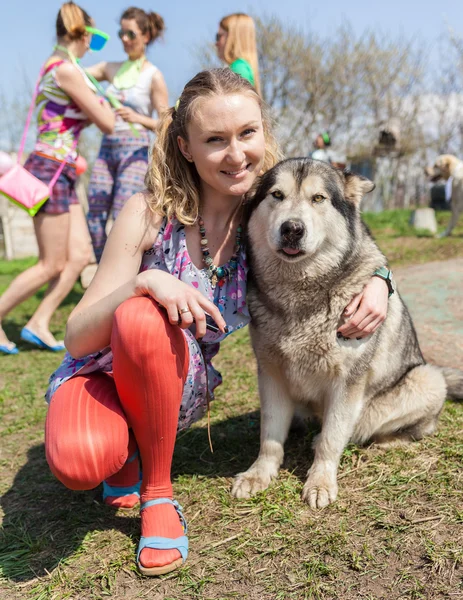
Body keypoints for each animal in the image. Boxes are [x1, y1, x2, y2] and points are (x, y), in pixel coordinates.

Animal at [234, 157, 462, 508]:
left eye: (318, 198)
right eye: (276, 195)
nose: (292, 228)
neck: (301, 293)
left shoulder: (347, 381)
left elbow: (332, 438)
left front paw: (320, 482)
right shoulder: (271, 374)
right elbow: (269, 436)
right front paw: (259, 474)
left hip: (426, 379)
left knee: (400, 429)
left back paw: (383, 441)